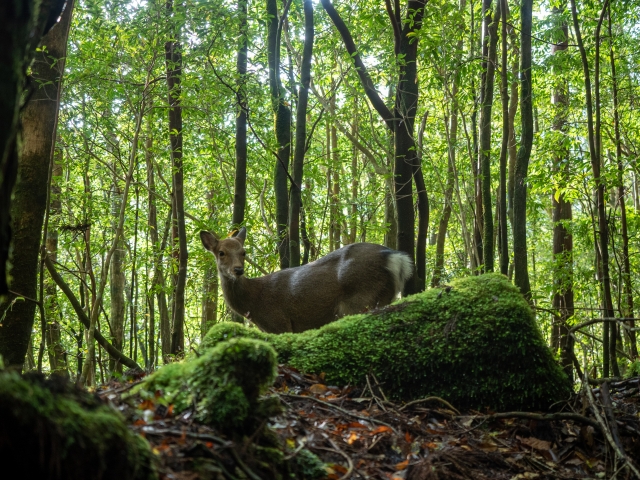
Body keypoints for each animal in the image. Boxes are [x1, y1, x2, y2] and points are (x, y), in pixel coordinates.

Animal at [200, 229, 416, 334]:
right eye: (221, 253)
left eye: (243, 252)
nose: (238, 270)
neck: (254, 303)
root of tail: (396, 258)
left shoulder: (279, 322)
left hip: (360, 298)